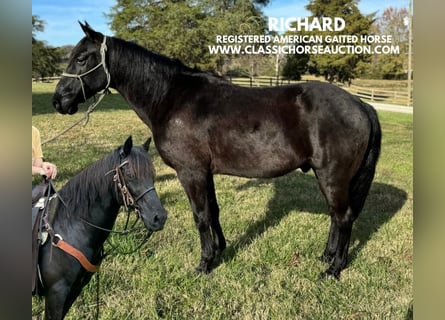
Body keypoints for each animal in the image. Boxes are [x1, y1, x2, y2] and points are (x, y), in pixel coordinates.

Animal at [32, 136, 166, 318]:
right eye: (130, 174)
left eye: (152, 175)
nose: (159, 217)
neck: (69, 227)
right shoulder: (55, 294)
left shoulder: (74, 291)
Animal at [53, 21, 382, 278]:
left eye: (82, 58)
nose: (59, 100)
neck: (171, 98)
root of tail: (361, 105)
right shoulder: (205, 172)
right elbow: (213, 211)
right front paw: (220, 250)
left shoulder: (191, 172)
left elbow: (200, 216)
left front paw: (204, 264)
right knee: (336, 216)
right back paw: (326, 256)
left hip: (332, 177)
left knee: (343, 217)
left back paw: (333, 269)